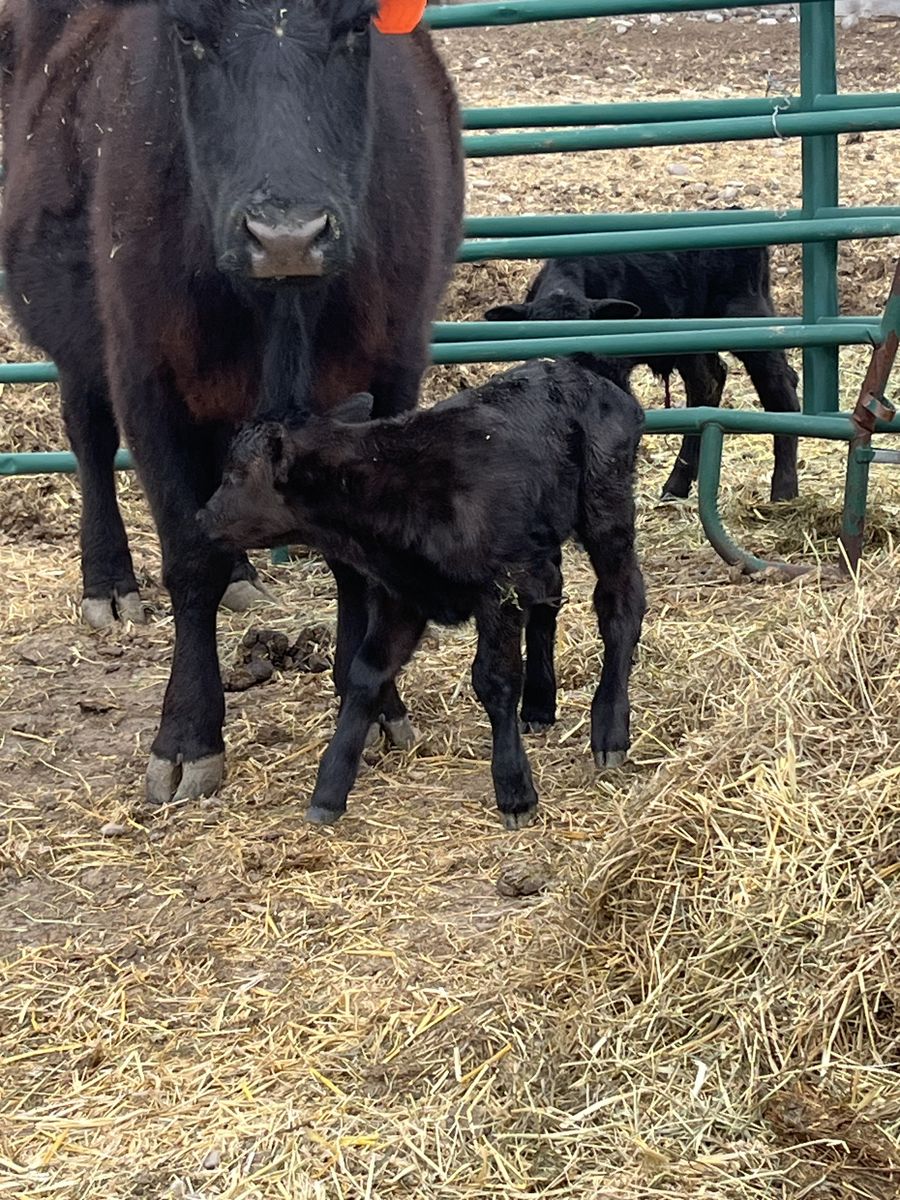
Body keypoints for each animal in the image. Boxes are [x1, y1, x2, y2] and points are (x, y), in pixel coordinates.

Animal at [1, 0, 464, 804]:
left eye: (354, 26)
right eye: (188, 31)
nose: (286, 237)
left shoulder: (393, 367)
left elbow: (357, 555)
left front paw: (373, 706)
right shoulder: (149, 382)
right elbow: (190, 561)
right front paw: (186, 736)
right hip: (81, 340)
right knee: (89, 438)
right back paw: (109, 582)